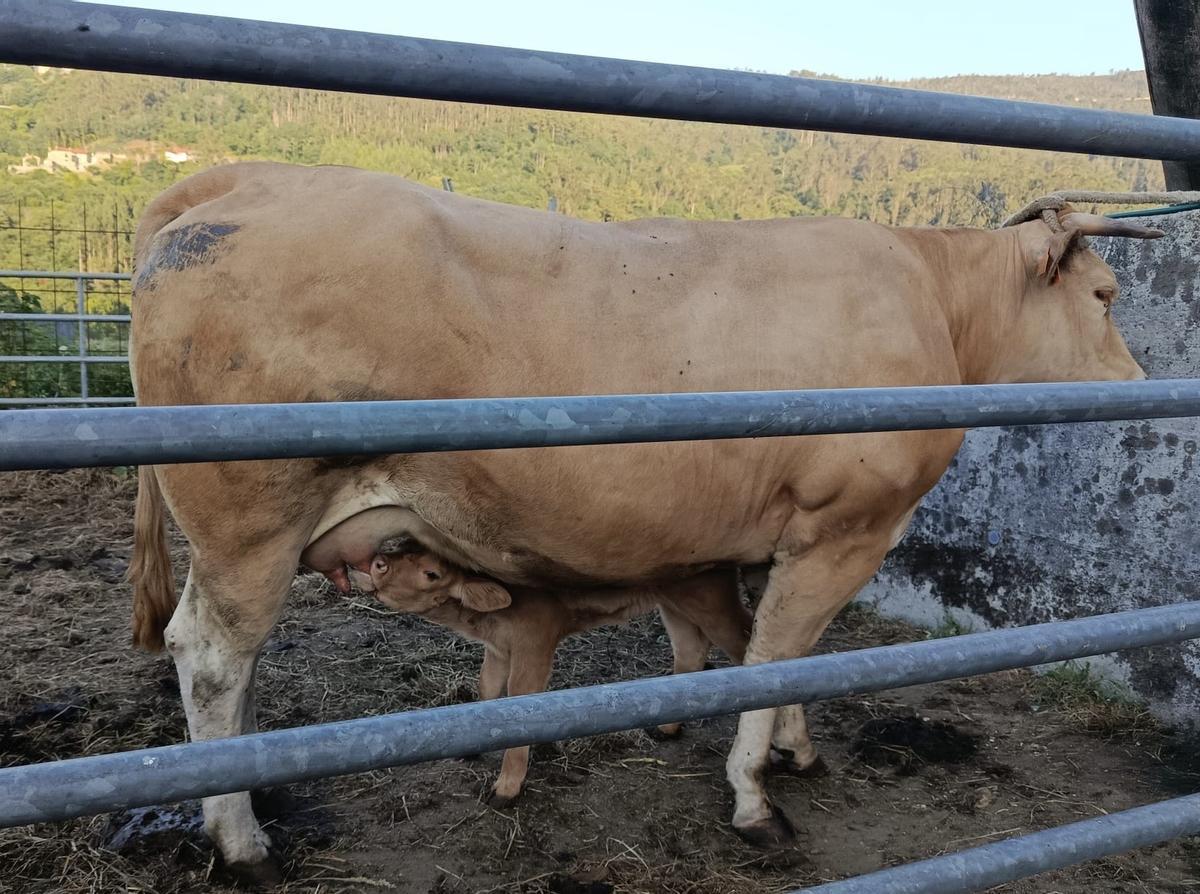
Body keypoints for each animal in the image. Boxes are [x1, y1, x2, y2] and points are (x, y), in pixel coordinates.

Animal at [350, 542, 752, 806]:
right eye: (402, 547)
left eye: (431, 573)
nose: (378, 563)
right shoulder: (499, 647)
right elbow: (487, 689)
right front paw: (472, 744)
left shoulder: (535, 642)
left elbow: (520, 702)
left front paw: (506, 788)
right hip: (674, 602)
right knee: (690, 650)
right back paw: (667, 728)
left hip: (710, 598)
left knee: (747, 642)